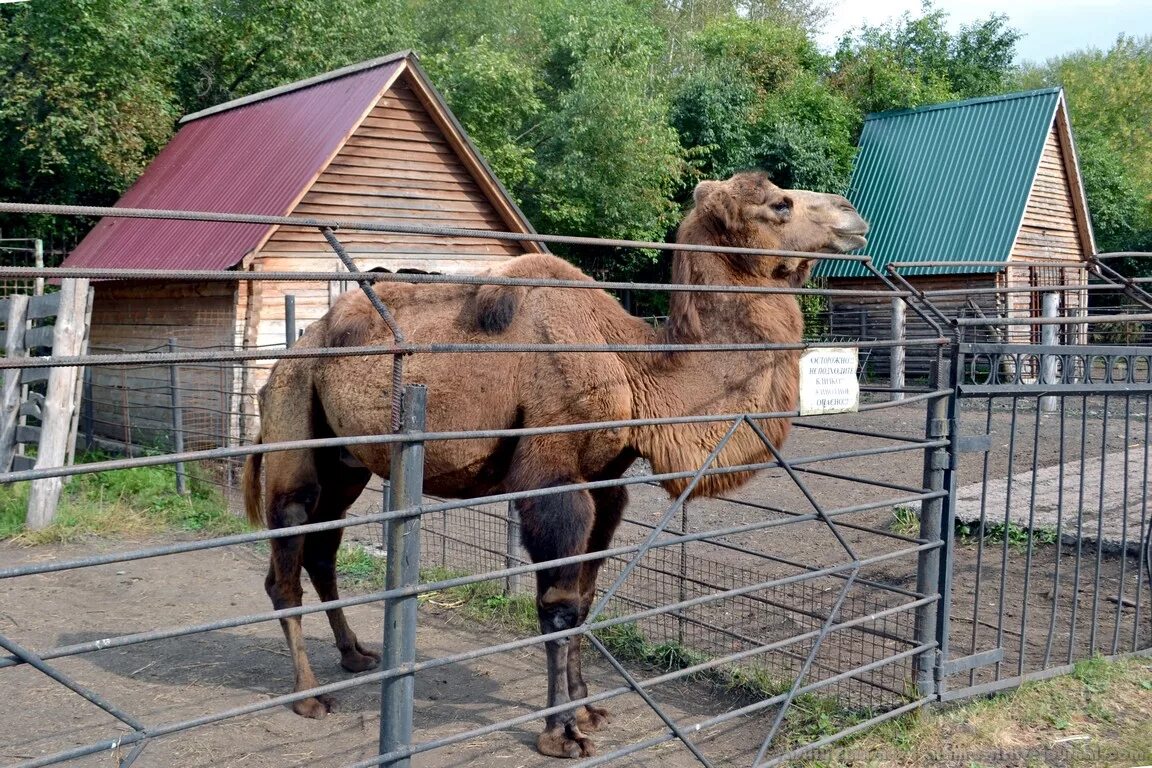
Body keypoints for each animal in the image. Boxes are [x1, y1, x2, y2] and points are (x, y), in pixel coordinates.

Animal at [245, 172, 870, 755]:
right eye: (780, 204)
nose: (853, 214)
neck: (633, 368)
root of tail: (292, 352)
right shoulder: (552, 478)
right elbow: (560, 607)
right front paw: (562, 732)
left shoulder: (605, 483)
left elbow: (586, 597)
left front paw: (589, 710)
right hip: (294, 424)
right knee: (285, 562)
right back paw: (309, 695)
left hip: (347, 463)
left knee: (322, 552)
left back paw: (355, 654)